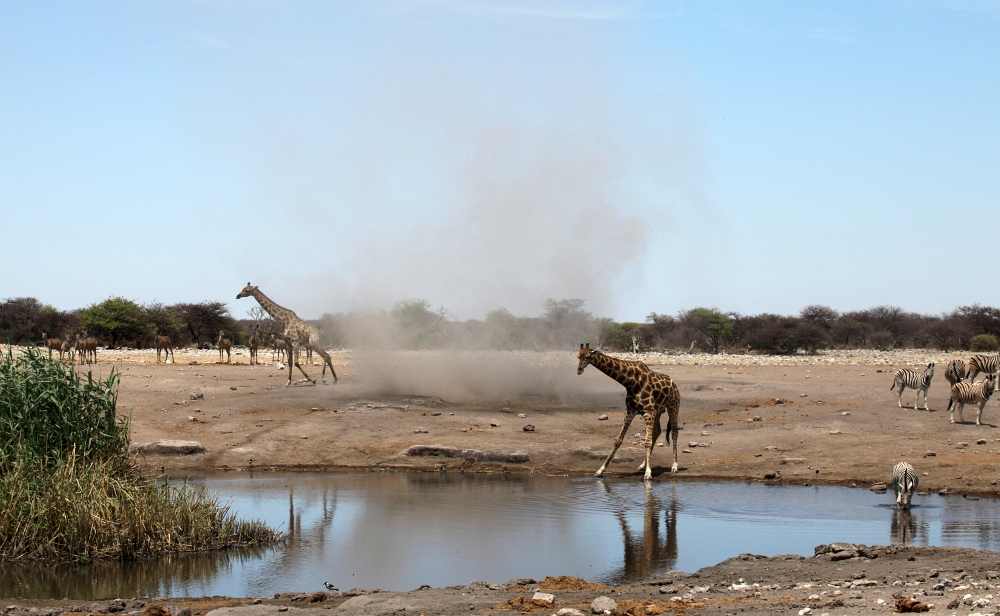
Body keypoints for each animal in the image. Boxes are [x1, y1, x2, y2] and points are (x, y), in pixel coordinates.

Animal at [576, 342, 684, 482]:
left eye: (588, 356)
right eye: (578, 356)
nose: (579, 370)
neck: (630, 382)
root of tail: (675, 385)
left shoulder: (648, 411)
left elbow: (646, 442)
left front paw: (648, 473)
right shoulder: (630, 411)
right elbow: (618, 440)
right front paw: (600, 470)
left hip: (673, 406)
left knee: (674, 432)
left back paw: (674, 466)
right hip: (658, 411)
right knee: (657, 431)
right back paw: (643, 465)